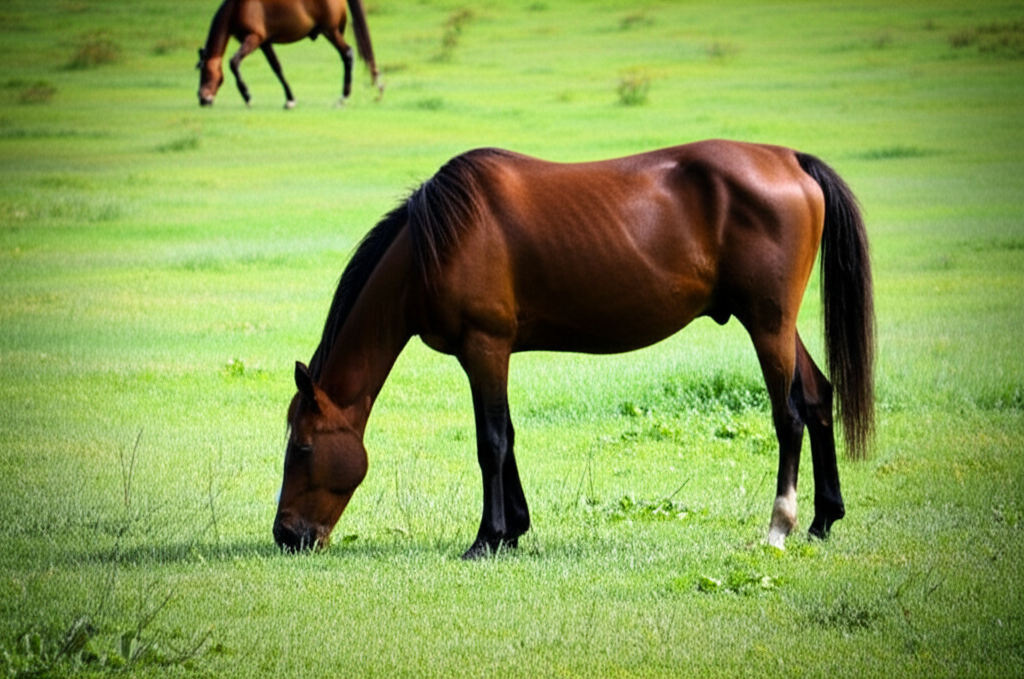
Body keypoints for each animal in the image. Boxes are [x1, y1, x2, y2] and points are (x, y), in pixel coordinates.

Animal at [196, 0, 382, 108]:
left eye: (205, 73)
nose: (203, 99)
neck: (236, 7)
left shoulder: (254, 38)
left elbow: (234, 62)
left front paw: (247, 95)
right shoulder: (264, 42)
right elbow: (277, 67)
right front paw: (290, 98)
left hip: (331, 31)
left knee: (347, 54)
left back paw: (343, 97)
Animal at [272, 140, 875, 558]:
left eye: (302, 447)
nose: (285, 535)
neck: (434, 244)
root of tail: (790, 160)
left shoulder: (483, 347)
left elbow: (490, 441)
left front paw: (487, 538)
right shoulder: (496, 353)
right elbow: (509, 436)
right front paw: (514, 531)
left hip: (767, 324)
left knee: (788, 417)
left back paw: (779, 526)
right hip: (780, 324)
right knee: (817, 398)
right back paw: (823, 520)